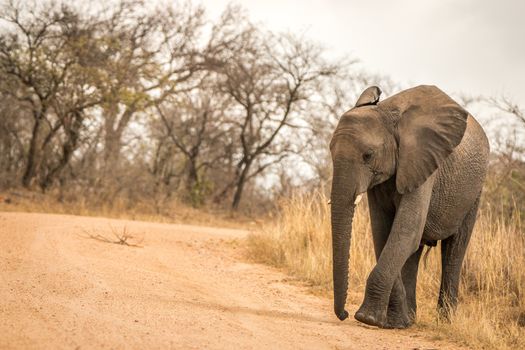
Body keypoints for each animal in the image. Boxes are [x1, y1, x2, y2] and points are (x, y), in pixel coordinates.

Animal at [330, 84, 490, 328]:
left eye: (368, 155)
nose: (344, 314)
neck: (387, 113)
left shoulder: (424, 164)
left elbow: (406, 230)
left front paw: (368, 319)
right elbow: (384, 233)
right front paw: (396, 322)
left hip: (474, 191)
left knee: (455, 249)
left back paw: (446, 323)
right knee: (415, 252)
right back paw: (411, 318)